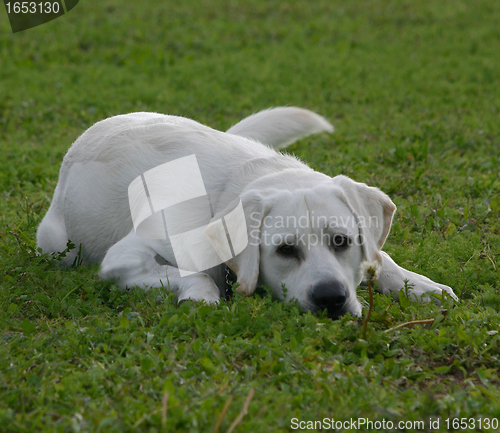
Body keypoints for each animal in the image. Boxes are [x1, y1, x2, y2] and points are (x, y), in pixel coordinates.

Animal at [36, 108, 458, 318]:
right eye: (285, 250)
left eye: (342, 242)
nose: (331, 298)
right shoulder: (124, 260)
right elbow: (192, 275)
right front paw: (202, 295)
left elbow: (382, 257)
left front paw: (420, 285)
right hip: (55, 245)